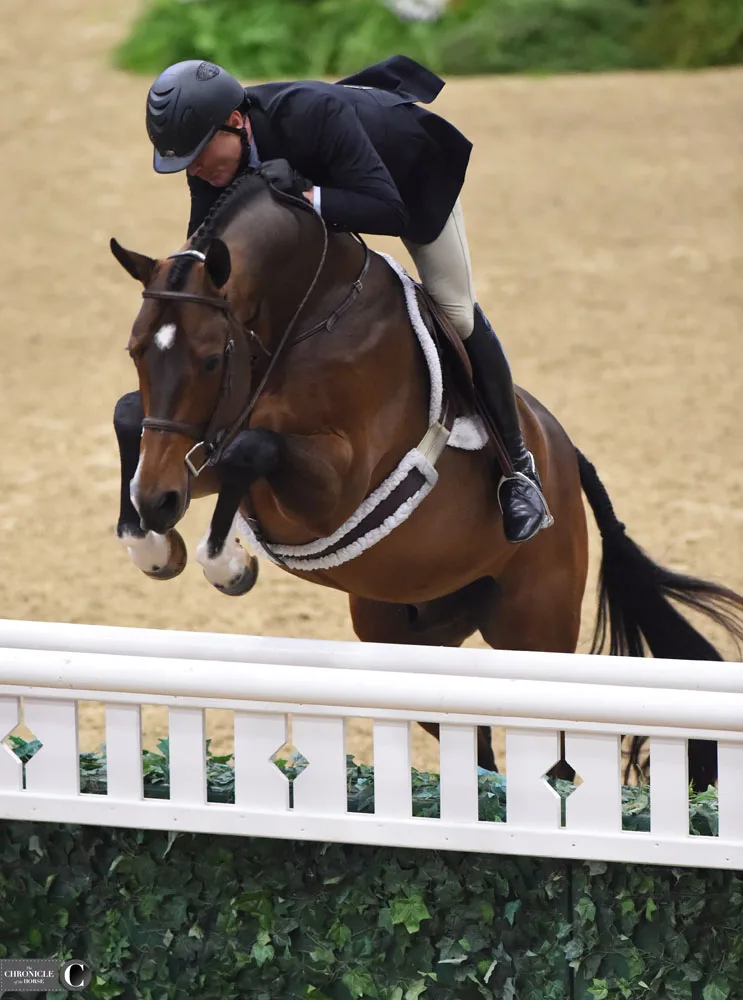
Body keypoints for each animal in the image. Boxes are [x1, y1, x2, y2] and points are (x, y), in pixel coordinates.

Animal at [109, 172, 743, 788]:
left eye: (212, 359)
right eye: (135, 350)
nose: (158, 502)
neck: (308, 313)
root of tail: (566, 456)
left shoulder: (332, 487)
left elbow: (251, 449)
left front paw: (227, 562)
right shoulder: (204, 449)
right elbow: (131, 415)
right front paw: (152, 544)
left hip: (535, 631)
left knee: (557, 762)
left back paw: (523, 501)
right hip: (410, 642)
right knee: (478, 749)